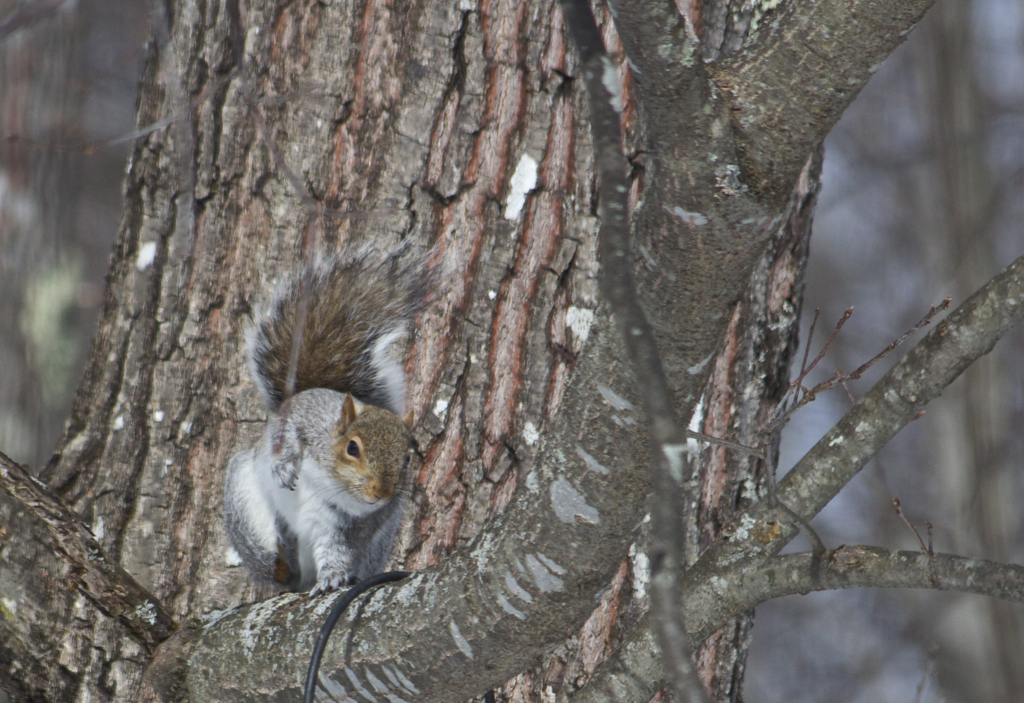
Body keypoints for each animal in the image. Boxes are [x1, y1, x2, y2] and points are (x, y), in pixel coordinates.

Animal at [224, 250, 428, 597]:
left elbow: (337, 549)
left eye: (406, 460)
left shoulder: (350, 524)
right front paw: (284, 468)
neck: (333, 481)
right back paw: (278, 559)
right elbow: (288, 435)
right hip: (241, 497)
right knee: (268, 559)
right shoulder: (306, 415)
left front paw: (333, 576)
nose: (381, 493)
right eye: (352, 448)